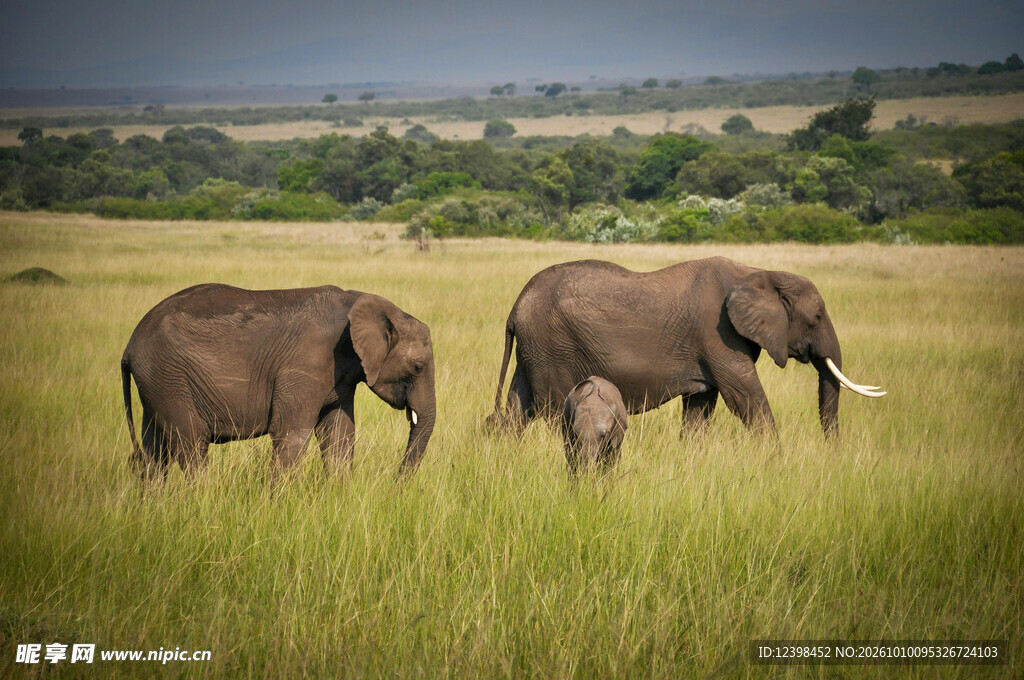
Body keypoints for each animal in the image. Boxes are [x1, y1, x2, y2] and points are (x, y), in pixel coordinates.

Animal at [121, 283, 435, 481]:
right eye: (417, 367)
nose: (395, 484)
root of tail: (129, 346)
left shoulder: (341, 378)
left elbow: (339, 435)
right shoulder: (305, 364)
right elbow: (291, 433)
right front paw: (277, 507)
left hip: (157, 382)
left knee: (155, 451)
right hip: (169, 377)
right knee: (190, 445)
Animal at [488, 257, 884, 439]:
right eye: (816, 317)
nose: (832, 450)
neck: (759, 272)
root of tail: (515, 307)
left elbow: (700, 408)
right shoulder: (718, 335)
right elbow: (746, 399)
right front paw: (777, 461)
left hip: (535, 348)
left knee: (517, 408)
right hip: (552, 346)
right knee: (553, 411)